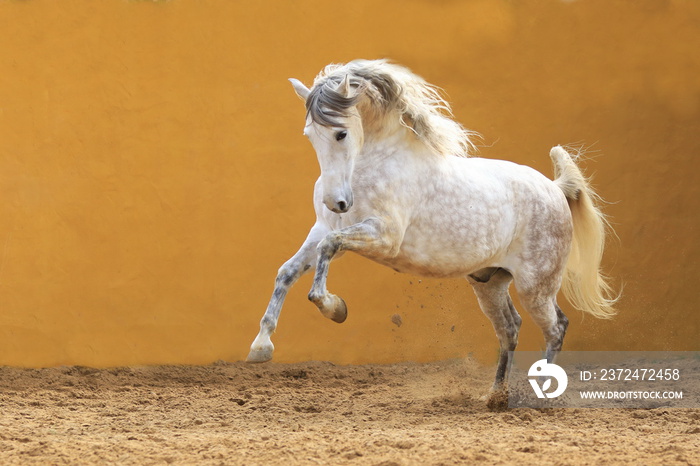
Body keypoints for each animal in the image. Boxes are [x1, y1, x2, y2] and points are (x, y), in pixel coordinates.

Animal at [247, 59, 616, 400]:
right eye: (310, 136)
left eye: (341, 133)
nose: (336, 202)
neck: (375, 163)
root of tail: (555, 188)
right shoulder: (323, 228)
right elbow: (288, 271)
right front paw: (261, 347)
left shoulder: (383, 236)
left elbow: (327, 251)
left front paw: (334, 308)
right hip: (489, 283)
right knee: (510, 328)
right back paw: (495, 396)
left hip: (535, 287)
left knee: (556, 328)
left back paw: (538, 395)